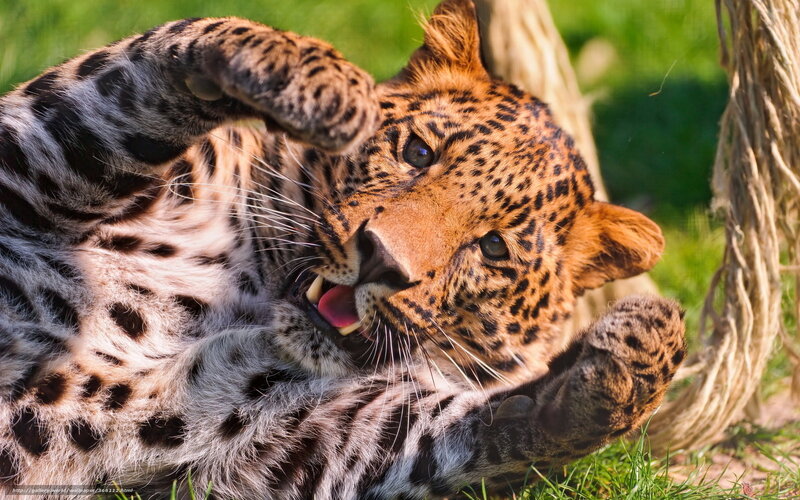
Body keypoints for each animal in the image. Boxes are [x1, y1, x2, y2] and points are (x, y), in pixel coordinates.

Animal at [0, 0, 686, 498]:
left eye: (492, 248)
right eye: (417, 152)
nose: (382, 258)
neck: (244, 292)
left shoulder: (281, 434)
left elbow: (481, 430)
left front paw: (644, 346)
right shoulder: (26, 161)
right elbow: (140, 78)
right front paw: (312, 79)